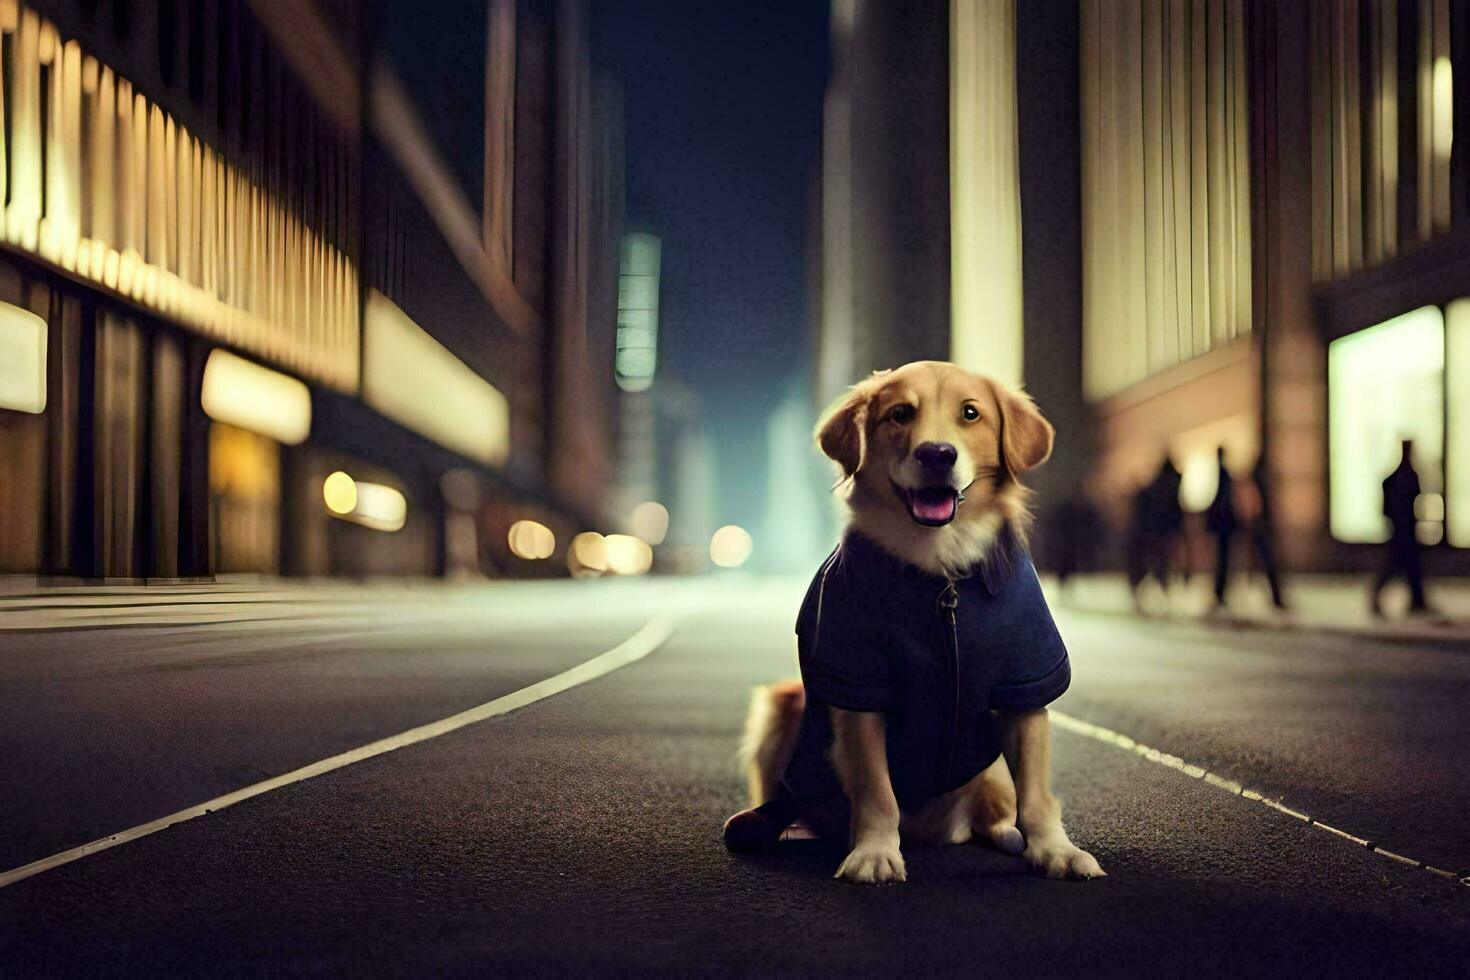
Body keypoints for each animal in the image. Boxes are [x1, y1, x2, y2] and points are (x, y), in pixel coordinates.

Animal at [723, 359, 1105, 881]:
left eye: (970, 413)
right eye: (900, 414)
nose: (937, 454)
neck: (940, 568)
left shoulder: (1025, 685)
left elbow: (1037, 796)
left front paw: (1054, 850)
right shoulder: (859, 685)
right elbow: (877, 792)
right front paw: (875, 852)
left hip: (987, 772)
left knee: (994, 811)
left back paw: (1006, 835)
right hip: (783, 705)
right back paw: (785, 827)